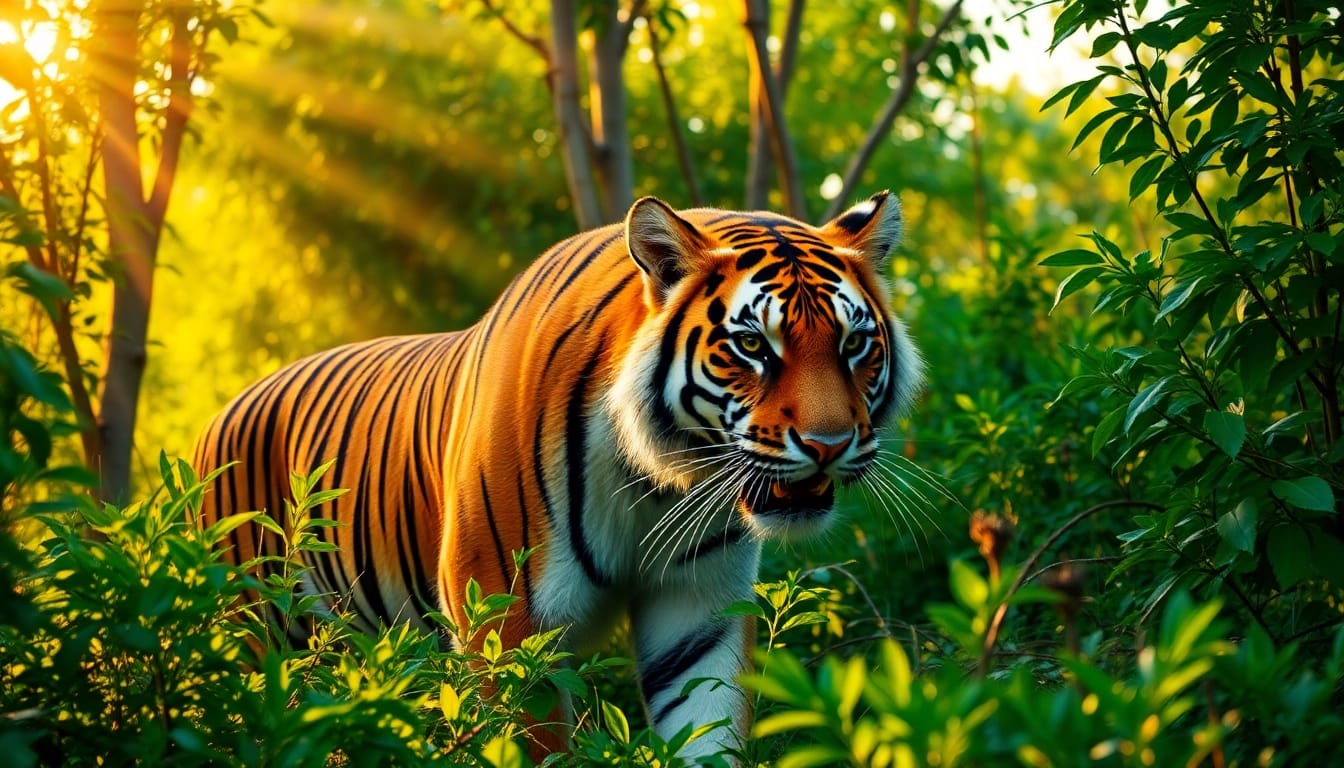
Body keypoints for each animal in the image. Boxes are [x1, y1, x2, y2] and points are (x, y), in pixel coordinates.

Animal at [192, 191, 923, 759]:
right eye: (752, 346)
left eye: (853, 344)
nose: (828, 445)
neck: (653, 481)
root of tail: (218, 416)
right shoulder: (504, 620)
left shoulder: (699, 610)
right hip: (256, 635)